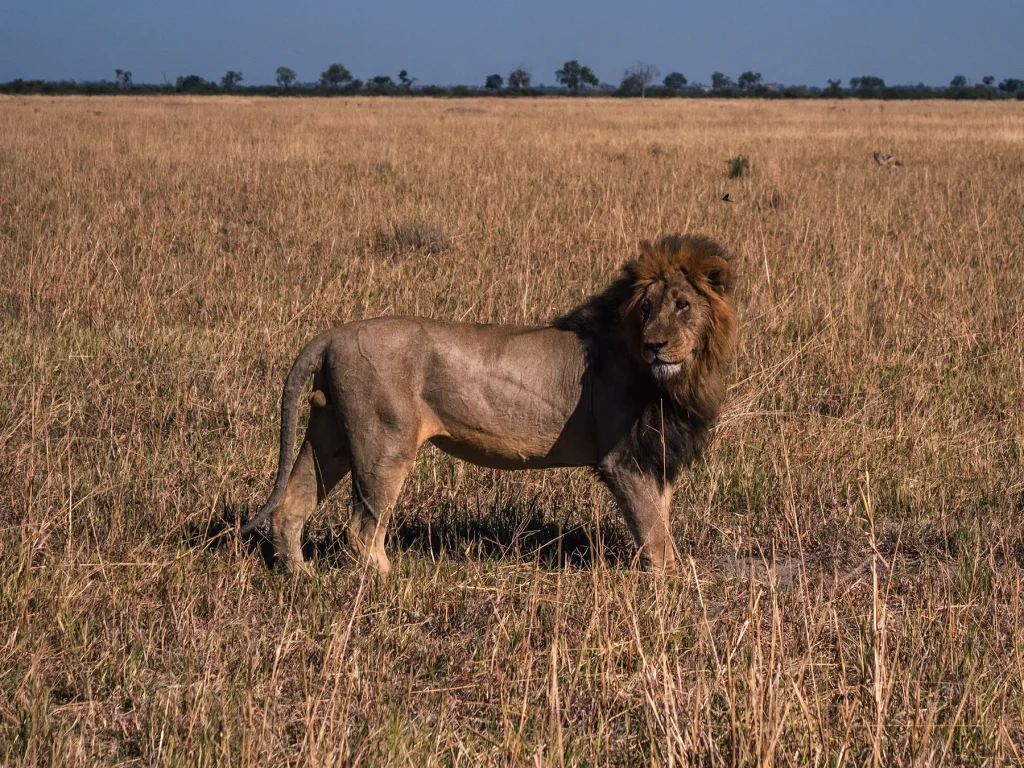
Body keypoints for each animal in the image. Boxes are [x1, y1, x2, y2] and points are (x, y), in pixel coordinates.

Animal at [242, 234, 733, 577]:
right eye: (646, 307)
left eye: (682, 305)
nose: (655, 346)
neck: (682, 379)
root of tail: (332, 335)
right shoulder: (622, 460)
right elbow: (654, 533)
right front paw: (671, 588)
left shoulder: (657, 455)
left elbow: (661, 520)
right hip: (383, 445)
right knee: (362, 532)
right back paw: (392, 582)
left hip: (331, 435)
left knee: (290, 507)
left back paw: (301, 577)